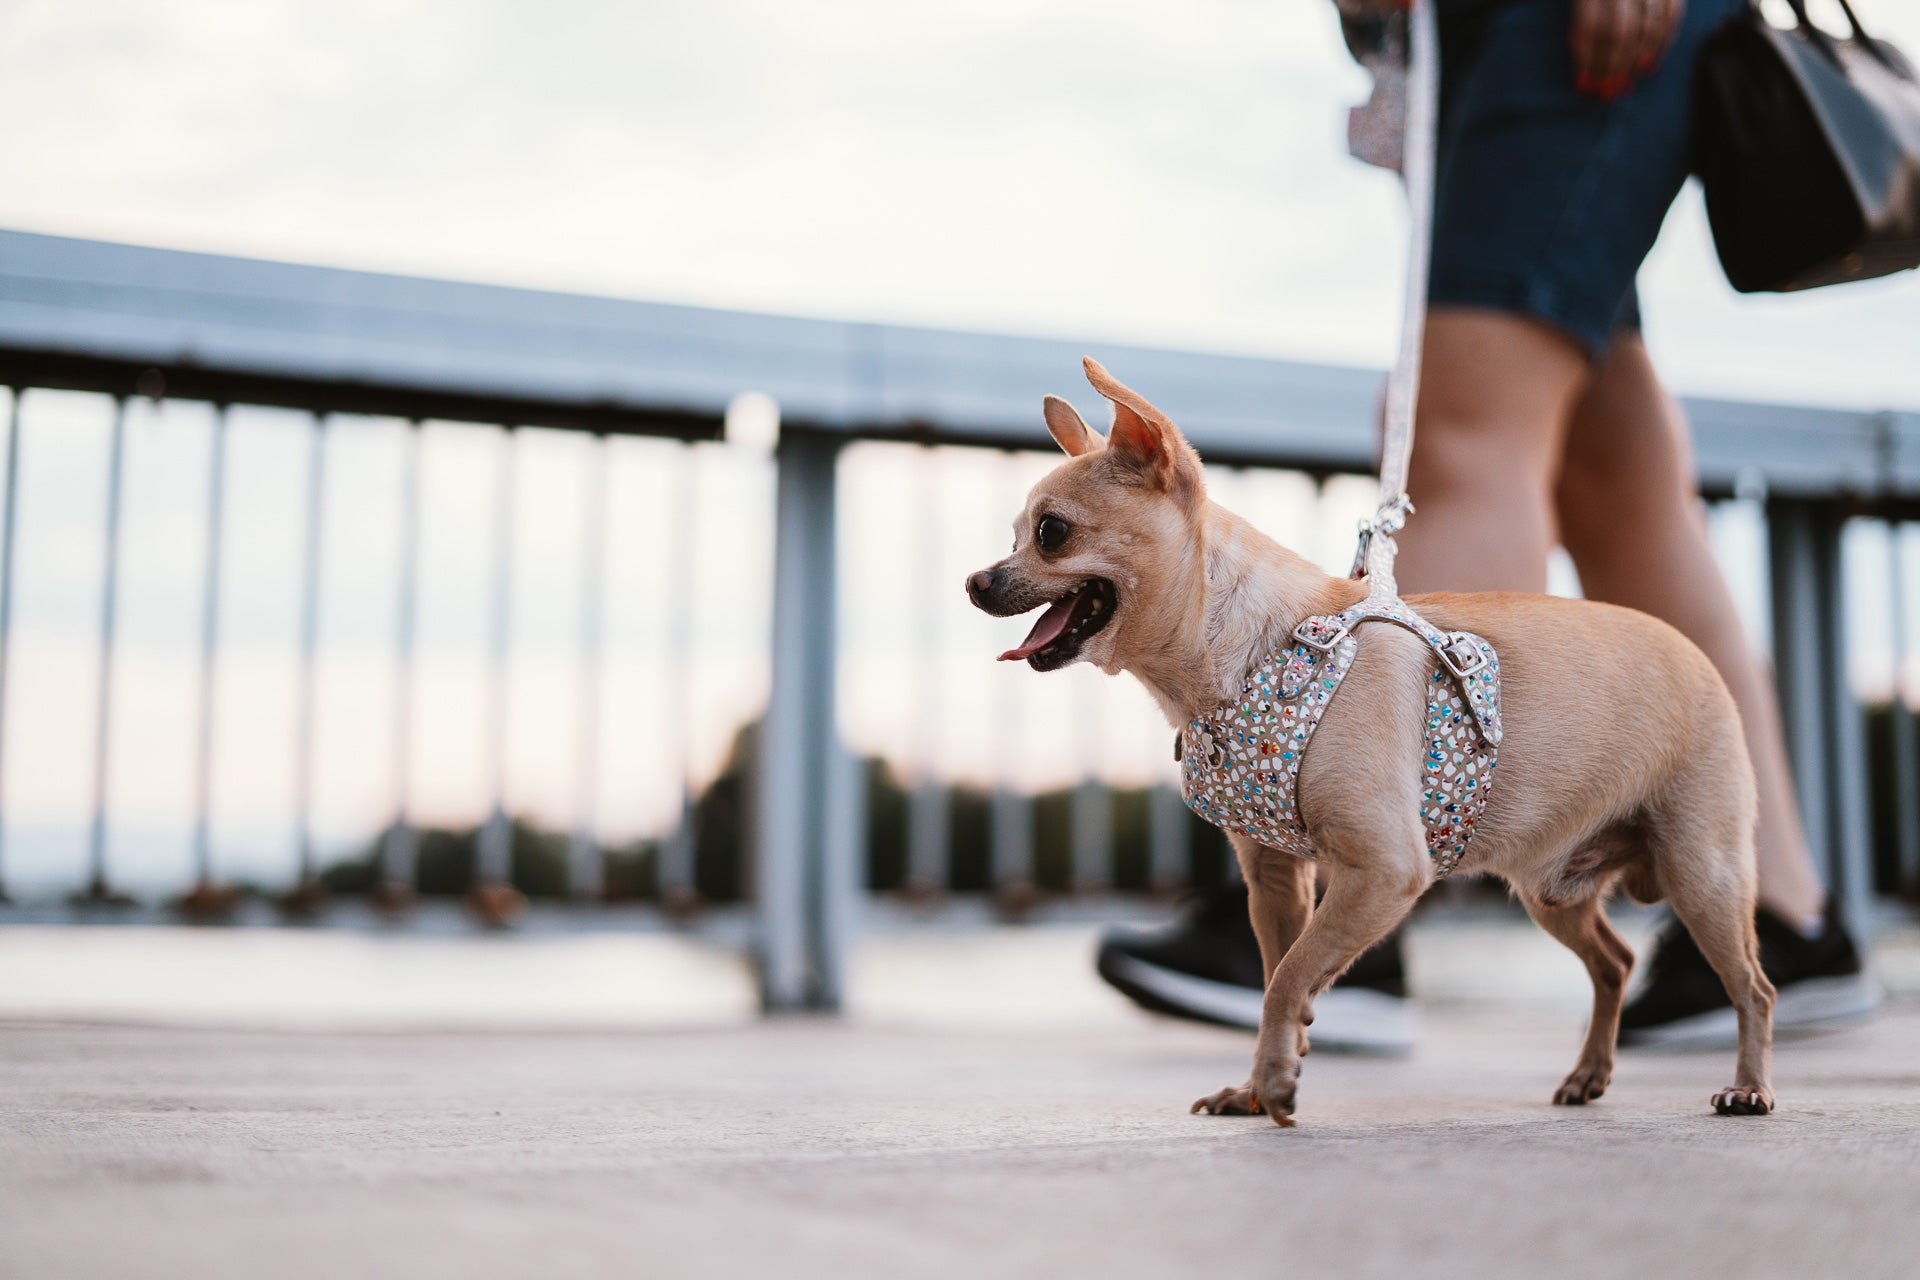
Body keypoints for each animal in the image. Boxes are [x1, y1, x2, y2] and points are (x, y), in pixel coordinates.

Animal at [967, 358, 1774, 1120]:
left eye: (1050, 533)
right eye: (1013, 536)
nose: (976, 581)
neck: (1253, 650)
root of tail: (1695, 652)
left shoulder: (1385, 871)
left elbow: (1289, 976)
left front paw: (1276, 1081)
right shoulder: (1277, 879)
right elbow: (1278, 972)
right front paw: (1257, 1086)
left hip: (1703, 874)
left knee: (1751, 987)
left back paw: (1748, 1088)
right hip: (1556, 890)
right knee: (1615, 961)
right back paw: (1589, 1075)